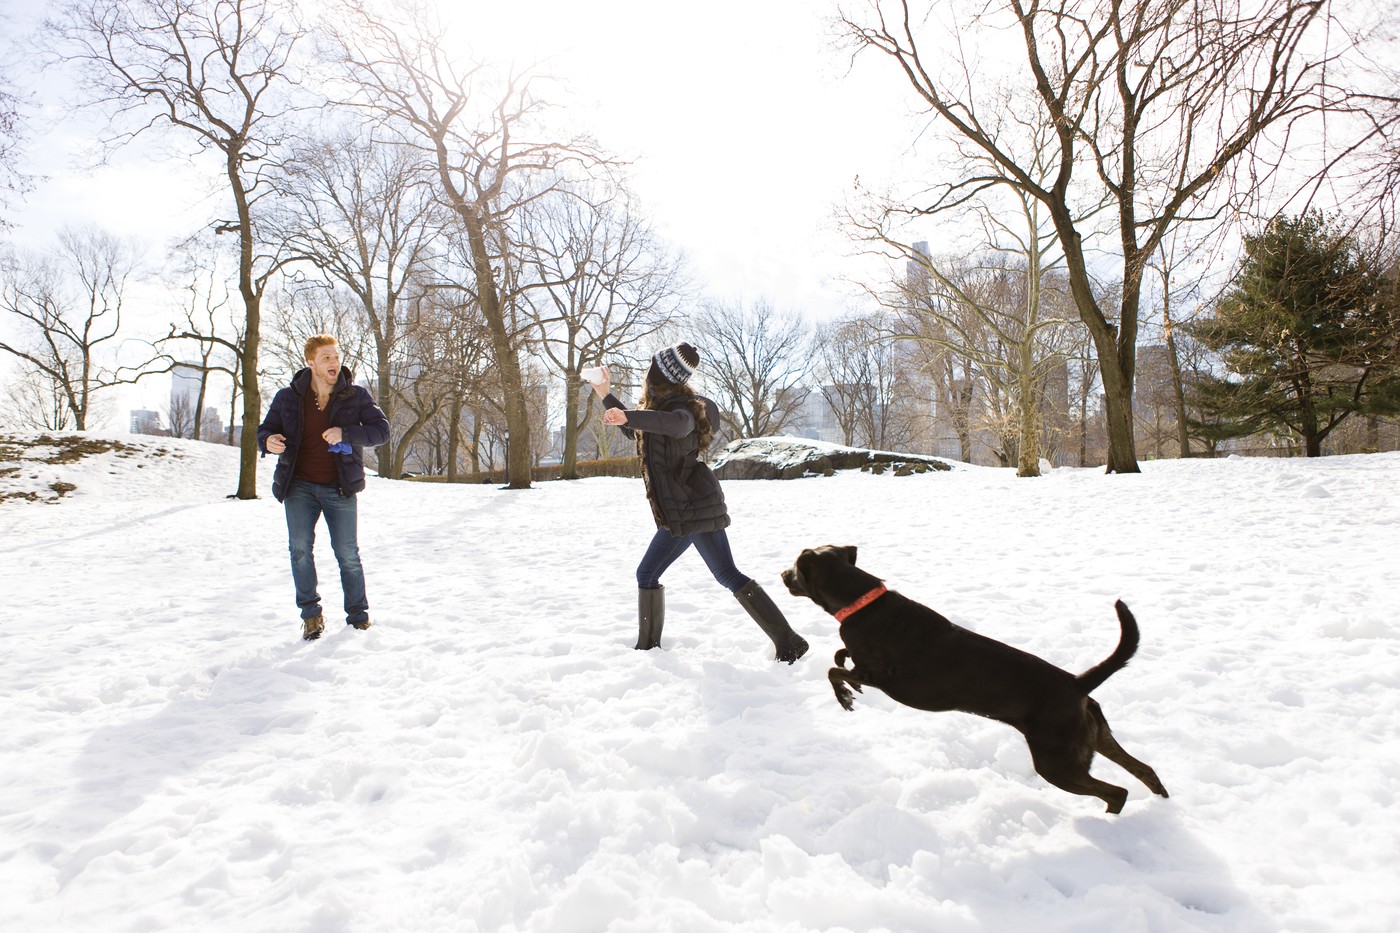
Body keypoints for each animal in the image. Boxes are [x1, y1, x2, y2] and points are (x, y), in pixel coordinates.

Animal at [789, 540, 1170, 812]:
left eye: (794, 569)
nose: (780, 574)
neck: (861, 602)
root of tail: (1077, 683)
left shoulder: (883, 677)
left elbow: (834, 669)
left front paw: (845, 695)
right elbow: (840, 657)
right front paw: (849, 681)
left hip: (1056, 761)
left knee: (1117, 792)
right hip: (1095, 738)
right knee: (1145, 771)